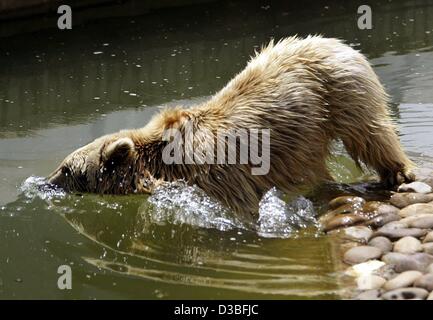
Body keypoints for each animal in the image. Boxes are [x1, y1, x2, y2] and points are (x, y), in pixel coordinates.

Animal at [46, 35, 412, 220]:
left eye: (66, 169)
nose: (45, 182)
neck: (160, 165)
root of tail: (336, 41)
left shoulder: (219, 176)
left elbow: (241, 205)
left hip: (340, 93)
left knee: (370, 134)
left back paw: (398, 172)